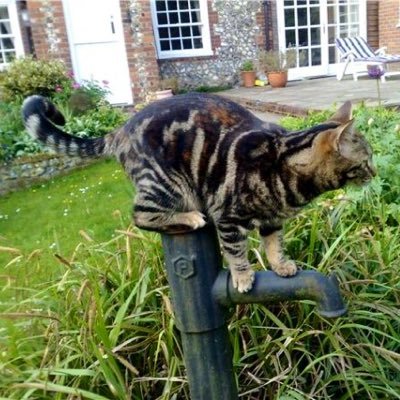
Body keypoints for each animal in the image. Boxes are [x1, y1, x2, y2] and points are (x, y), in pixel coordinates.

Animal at [21, 94, 376, 294]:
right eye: (366, 160)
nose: (375, 172)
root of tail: (120, 129)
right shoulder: (227, 217)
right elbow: (236, 252)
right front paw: (243, 277)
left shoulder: (272, 220)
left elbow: (274, 245)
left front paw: (281, 265)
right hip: (165, 183)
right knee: (140, 215)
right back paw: (189, 216)